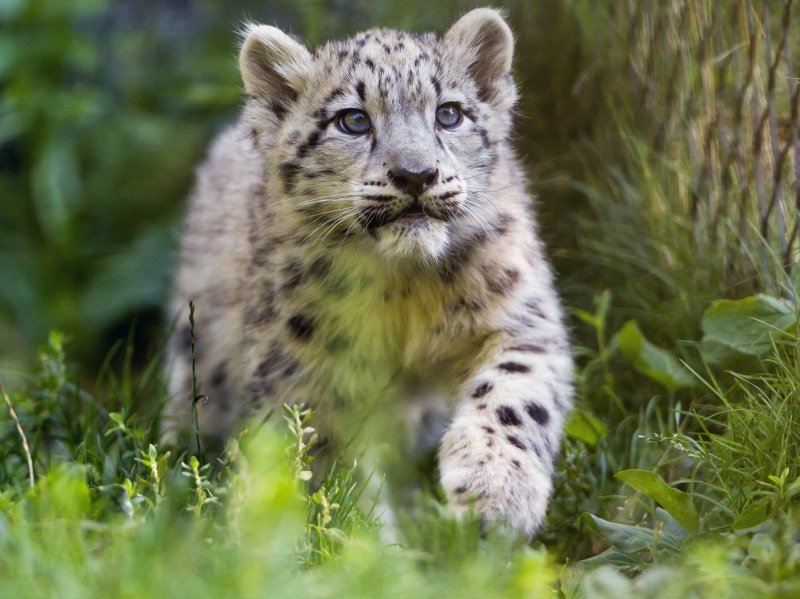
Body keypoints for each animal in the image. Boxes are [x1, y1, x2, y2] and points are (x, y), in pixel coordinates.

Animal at [167, 7, 573, 538]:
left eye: (449, 113)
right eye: (353, 120)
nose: (417, 174)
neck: (405, 289)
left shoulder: (517, 313)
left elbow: (515, 390)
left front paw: (495, 494)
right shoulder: (310, 371)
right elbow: (329, 464)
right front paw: (365, 541)